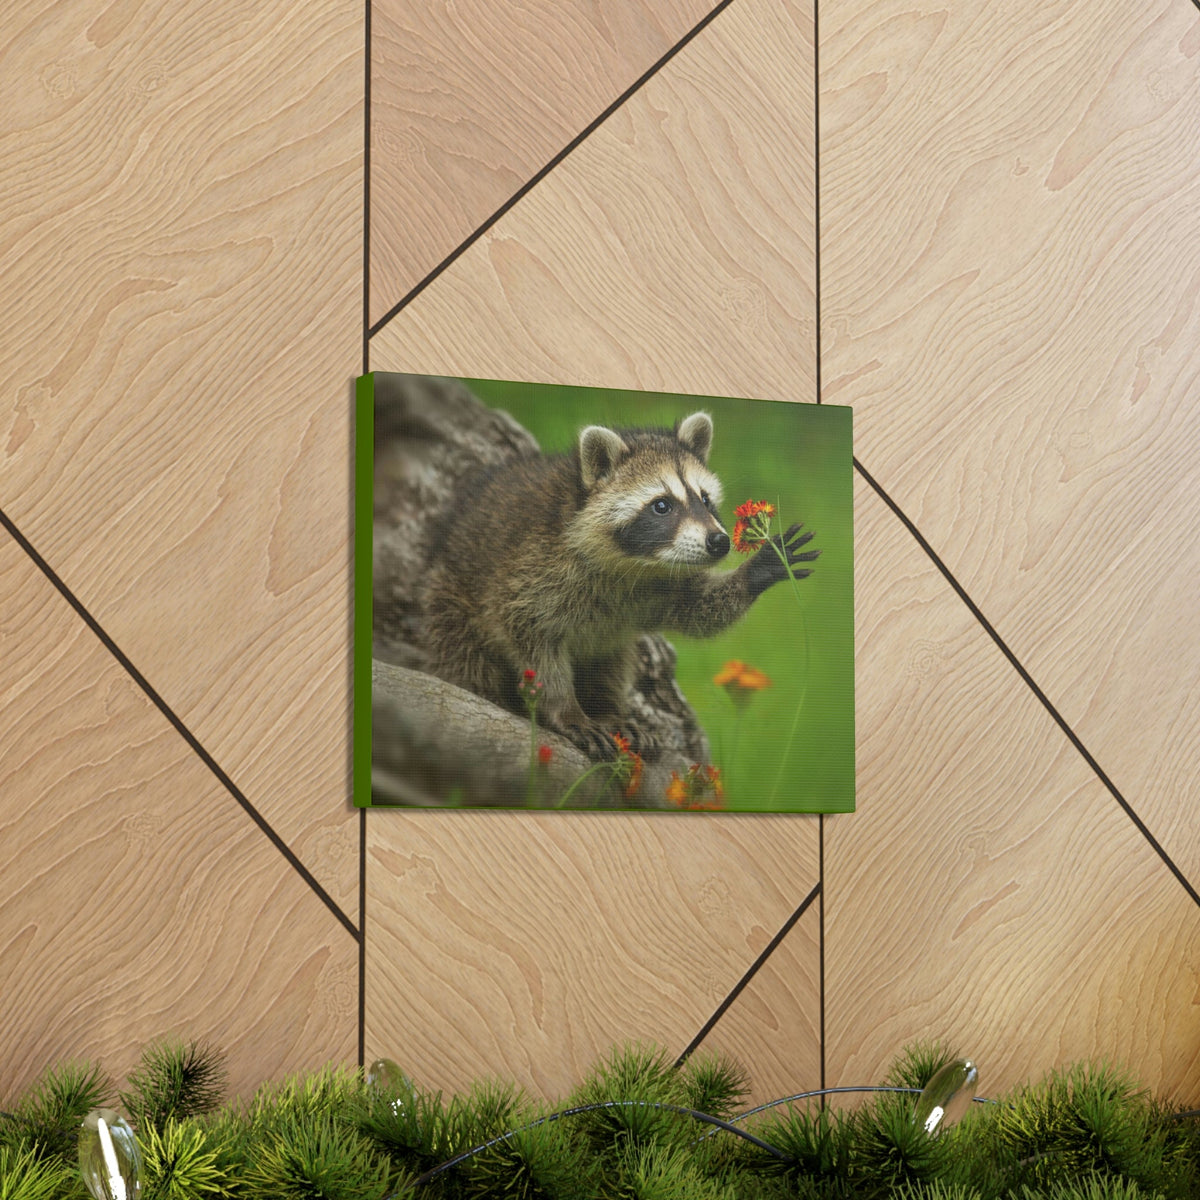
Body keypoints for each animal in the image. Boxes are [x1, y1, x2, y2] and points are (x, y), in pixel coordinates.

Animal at [421, 412, 817, 760]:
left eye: (705, 500)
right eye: (662, 506)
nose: (719, 542)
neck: (631, 565)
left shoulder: (657, 587)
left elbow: (698, 609)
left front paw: (757, 571)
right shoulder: (529, 573)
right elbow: (533, 644)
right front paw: (565, 709)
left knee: (610, 660)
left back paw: (609, 709)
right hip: (450, 604)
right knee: (468, 662)